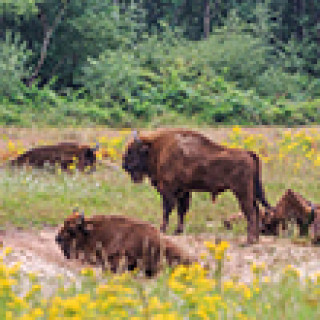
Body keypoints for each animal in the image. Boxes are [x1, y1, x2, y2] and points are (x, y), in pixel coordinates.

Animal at [121, 129, 272, 244]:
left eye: (131, 151)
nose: (124, 165)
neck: (157, 148)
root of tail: (248, 153)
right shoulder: (183, 191)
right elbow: (181, 210)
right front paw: (177, 231)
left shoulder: (168, 189)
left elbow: (167, 209)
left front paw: (162, 229)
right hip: (251, 192)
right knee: (256, 210)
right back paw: (255, 239)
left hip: (242, 192)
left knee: (250, 212)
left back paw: (249, 241)